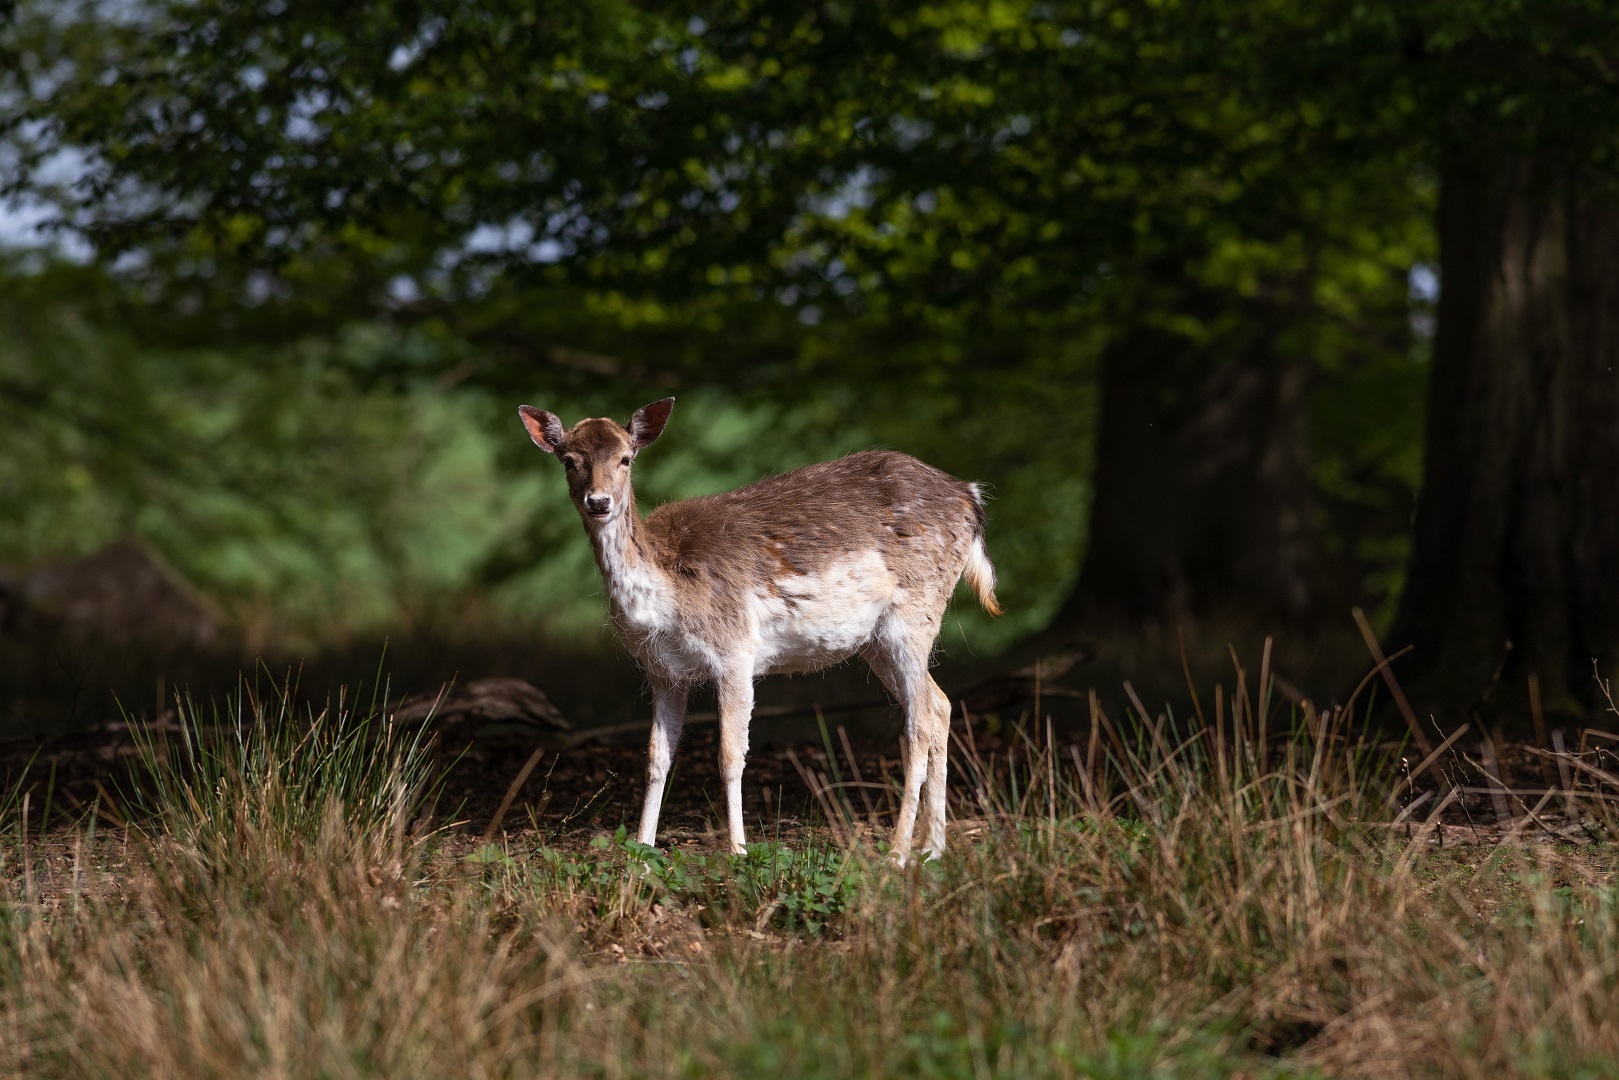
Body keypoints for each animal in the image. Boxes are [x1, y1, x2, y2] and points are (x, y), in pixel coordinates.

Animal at [518, 396, 997, 861]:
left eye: (625, 458)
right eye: (569, 460)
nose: (599, 502)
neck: (667, 596)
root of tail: (970, 496)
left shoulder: (734, 650)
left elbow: (730, 755)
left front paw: (738, 850)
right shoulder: (663, 670)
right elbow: (656, 757)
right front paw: (642, 848)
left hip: (916, 612)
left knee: (919, 721)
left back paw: (898, 852)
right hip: (877, 641)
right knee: (940, 703)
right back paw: (933, 848)